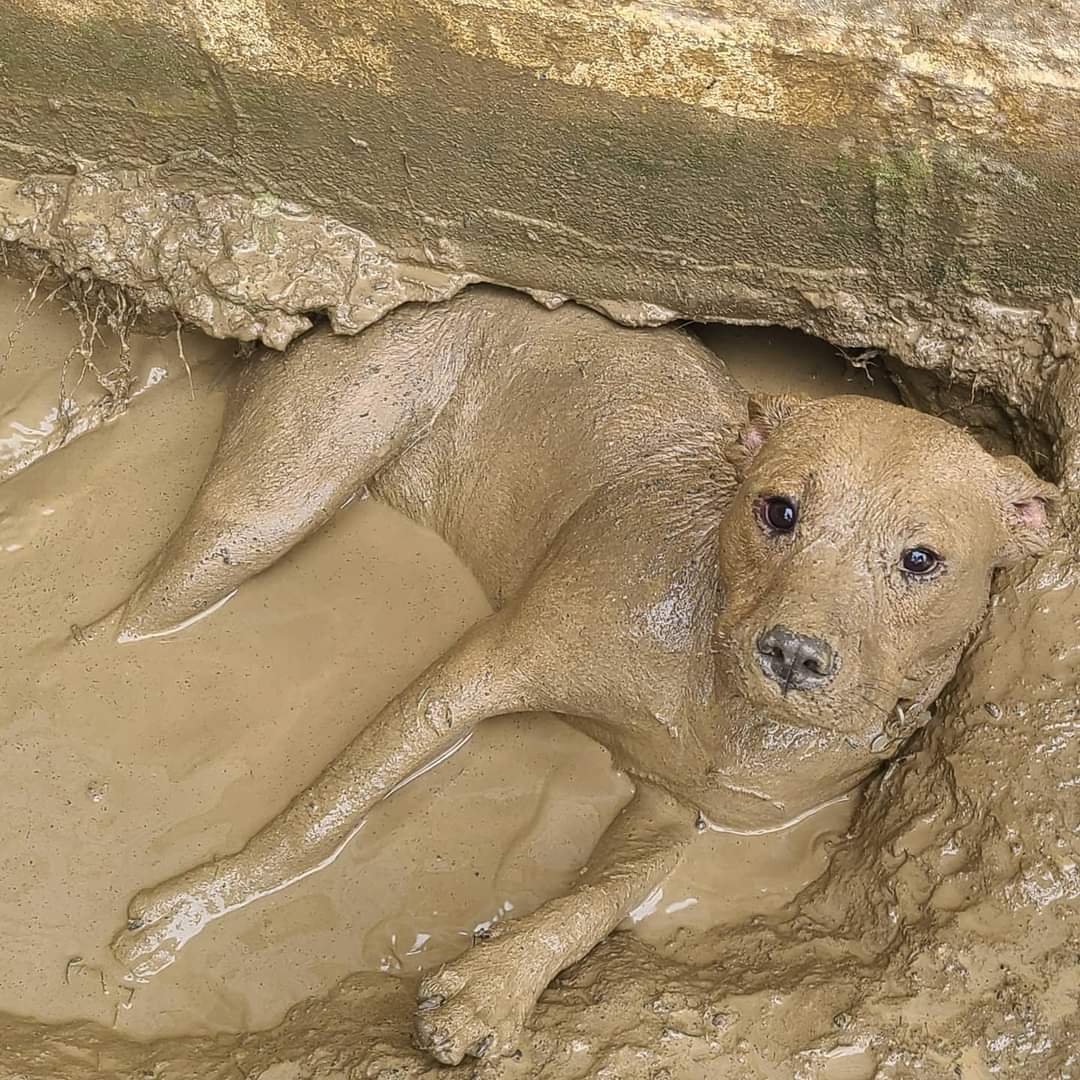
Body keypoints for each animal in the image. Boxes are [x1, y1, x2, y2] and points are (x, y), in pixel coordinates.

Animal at [103, 287, 1054, 1062]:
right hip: (264, 512)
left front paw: (493, 987)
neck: (723, 707)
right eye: (778, 510)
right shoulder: (482, 668)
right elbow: (320, 813)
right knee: (112, 628)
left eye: (921, 560)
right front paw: (195, 910)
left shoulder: (679, 808)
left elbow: (597, 902)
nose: (793, 653)